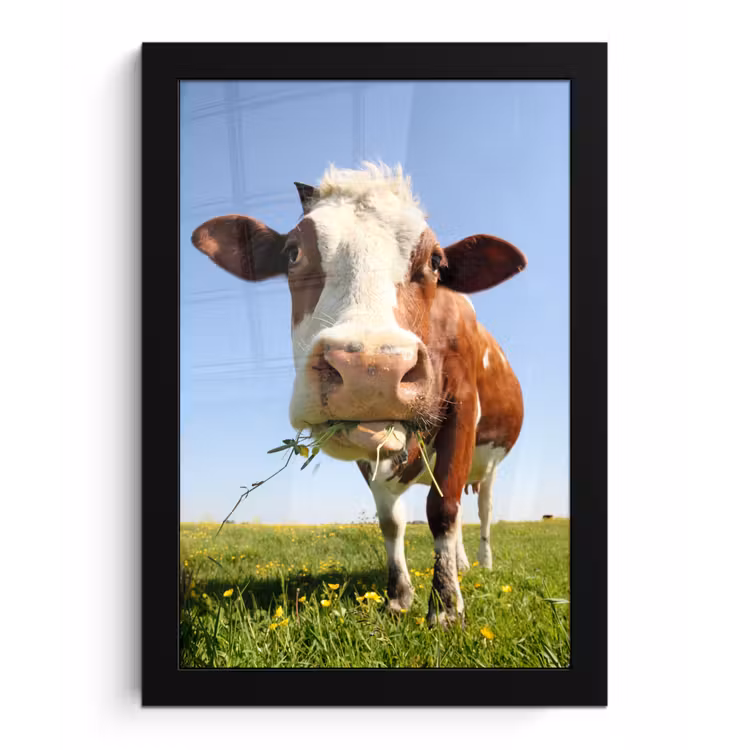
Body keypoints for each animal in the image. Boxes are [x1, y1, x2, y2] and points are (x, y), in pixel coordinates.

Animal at [191, 163, 525, 626]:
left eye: (436, 262)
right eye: (292, 253)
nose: (372, 369)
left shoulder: (461, 409)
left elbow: (442, 510)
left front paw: (445, 607)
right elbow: (391, 521)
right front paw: (400, 596)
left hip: (490, 464)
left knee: (480, 511)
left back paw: (481, 564)